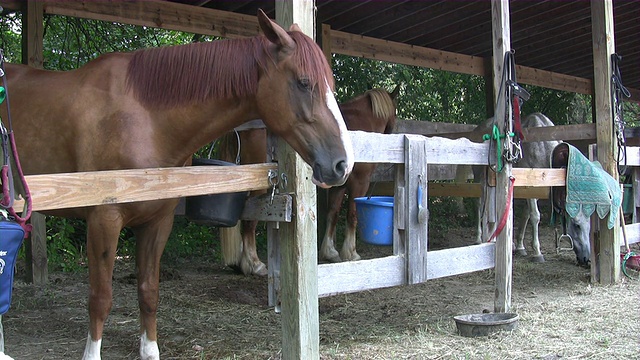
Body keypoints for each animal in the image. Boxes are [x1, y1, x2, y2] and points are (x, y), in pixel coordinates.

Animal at [0, 9, 352, 358]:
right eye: (304, 82)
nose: (342, 164)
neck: (144, 119)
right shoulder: (103, 220)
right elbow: (101, 299)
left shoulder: (158, 221)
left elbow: (149, 291)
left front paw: (150, 350)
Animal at [220, 86, 398, 276]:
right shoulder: (360, 183)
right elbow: (353, 215)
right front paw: (351, 253)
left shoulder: (339, 186)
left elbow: (333, 213)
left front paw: (330, 252)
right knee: (249, 221)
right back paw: (254, 264)